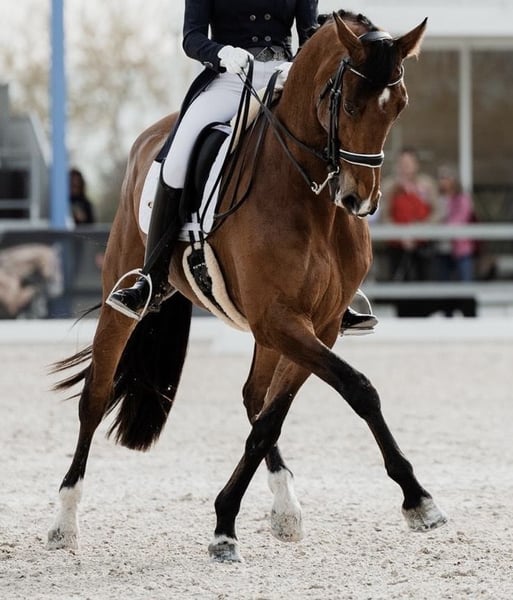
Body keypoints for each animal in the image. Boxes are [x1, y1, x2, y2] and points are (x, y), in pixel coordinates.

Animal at [47, 11, 447, 562]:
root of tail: (154, 133)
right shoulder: (279, 319)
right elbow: (358, 389)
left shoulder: (318, 325)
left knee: (254, 397)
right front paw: (417, 498)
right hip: (124, 298)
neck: (310, 198)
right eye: (346, 102)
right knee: (95, 396)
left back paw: (286, 508)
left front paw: (229, 520)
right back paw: (64, 521)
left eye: (400, 104)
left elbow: (273, 417)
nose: (358, 200)